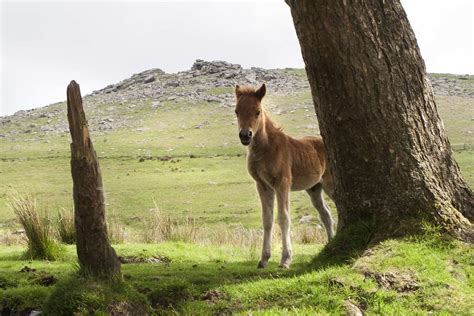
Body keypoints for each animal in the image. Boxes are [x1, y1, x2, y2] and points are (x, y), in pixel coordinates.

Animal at [235, 84, 336, 270]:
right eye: (236, 111)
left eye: (257, 112)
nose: (245, 135)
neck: (266, 148)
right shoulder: (263, 185)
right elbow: (267, 219)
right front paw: (263, 259)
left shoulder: (282, 183)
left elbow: (283, 218)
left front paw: (285, 259)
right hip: (314, 189)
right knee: (326, 214)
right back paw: (331, 243)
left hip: (330, 185)